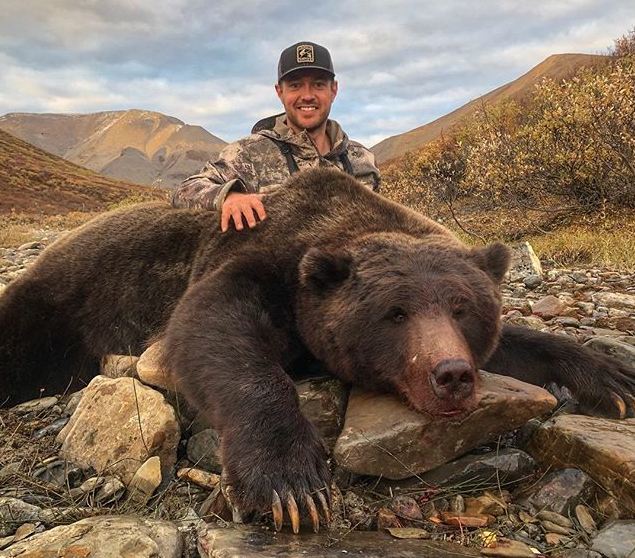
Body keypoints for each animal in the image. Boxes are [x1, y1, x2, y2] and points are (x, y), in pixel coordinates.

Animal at [1, 170, 635, 532]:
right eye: (396, 312)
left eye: (462, 309)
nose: (451, 374)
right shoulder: (254, 261)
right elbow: (211, 331)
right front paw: (291, 483)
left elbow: (522, 345)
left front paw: (611, 376)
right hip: (58, 304)